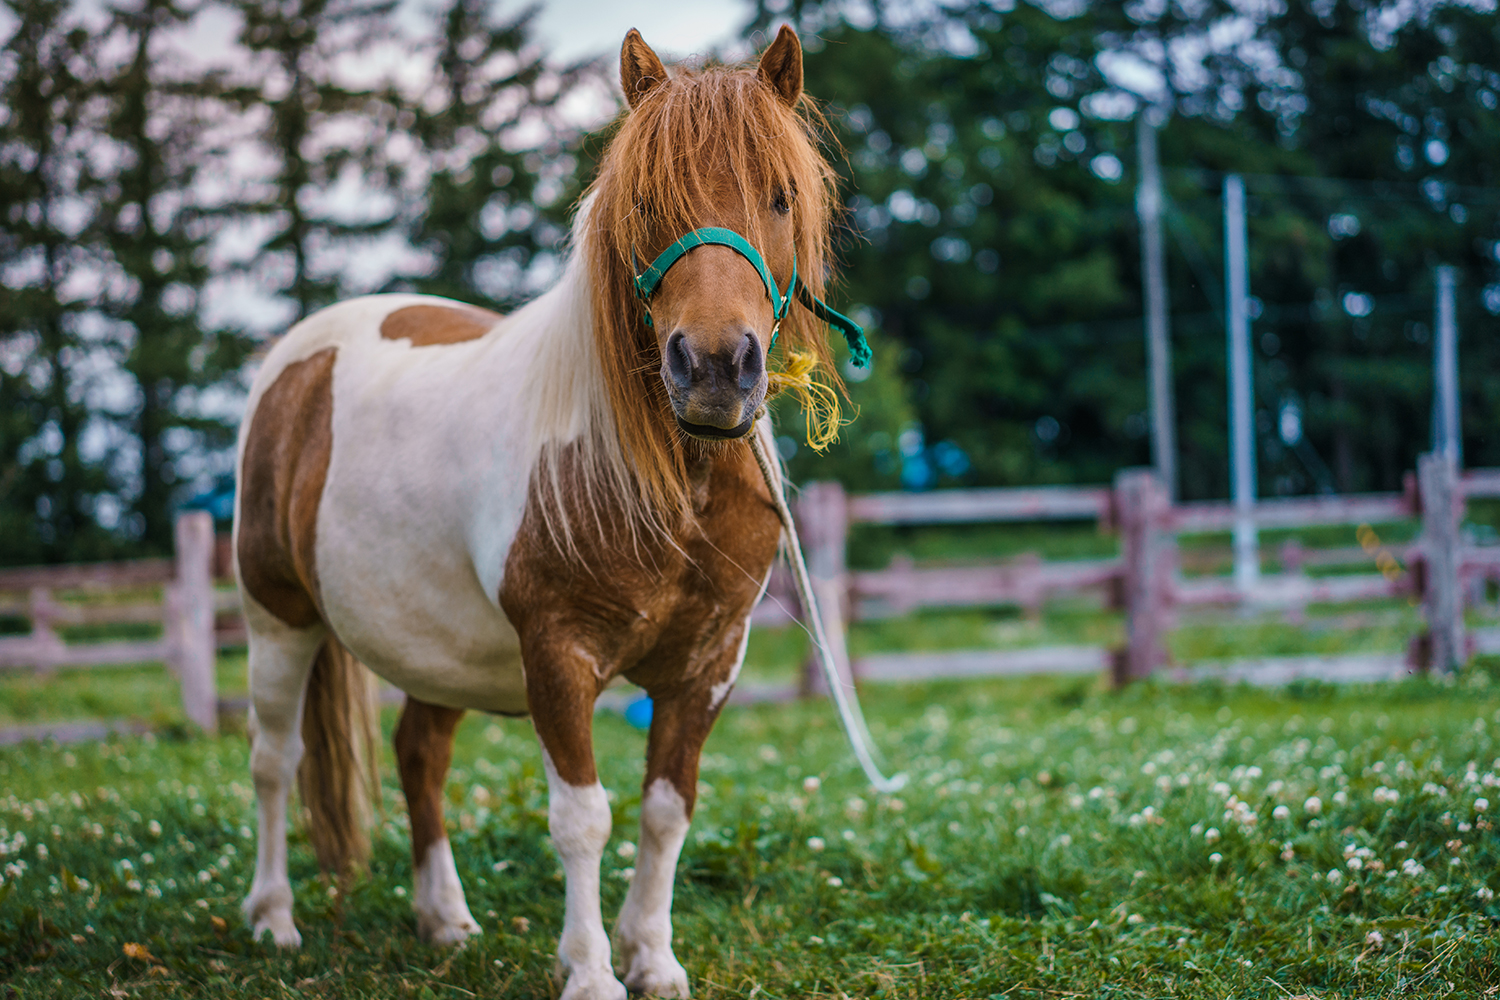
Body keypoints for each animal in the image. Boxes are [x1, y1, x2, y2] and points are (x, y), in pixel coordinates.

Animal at [234, 25, 856, 1000]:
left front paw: (653, 959)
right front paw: (593, 971)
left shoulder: (707, 665)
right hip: (278, 617)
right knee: (274, 760)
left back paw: (444, 919)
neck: (665, 481)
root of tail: (296, 359)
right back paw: (272, 918)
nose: (716, 371)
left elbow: (667, 811)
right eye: (645, 201)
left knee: (420, 753)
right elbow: (584, 820)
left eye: (782, 196)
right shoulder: (558, 655)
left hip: (435, 644)